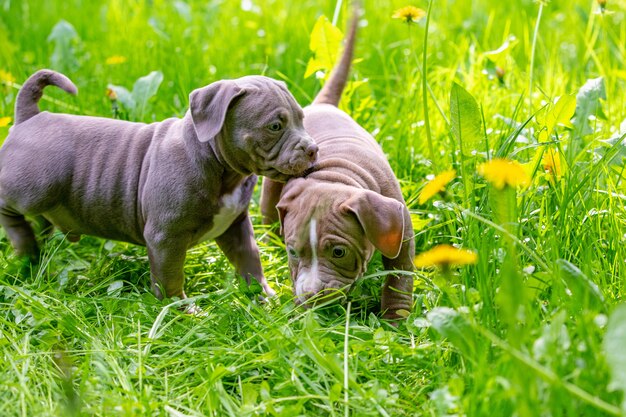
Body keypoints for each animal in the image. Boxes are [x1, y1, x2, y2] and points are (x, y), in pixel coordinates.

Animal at [1, 70, 316, 300]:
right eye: (275, 126)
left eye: (302, 119)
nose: (313, 149)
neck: (220, 167)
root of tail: (29, 117)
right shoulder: (166, 237)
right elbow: (170, 276)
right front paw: (180, 311)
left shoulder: (235, 224)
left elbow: (249, 260)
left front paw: (263, 296)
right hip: (33, 188)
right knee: (10, 209)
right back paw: (25, 245)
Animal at [260, 14, 414, 316]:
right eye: (292, 252)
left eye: (338, 252)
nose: (311, 295)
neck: (335, 176)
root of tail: (321, 105)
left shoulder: (400, 229)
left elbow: (399, 276)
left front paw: (396, 318)